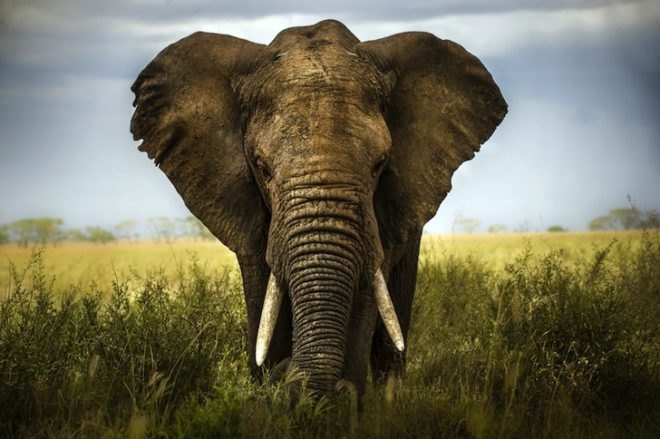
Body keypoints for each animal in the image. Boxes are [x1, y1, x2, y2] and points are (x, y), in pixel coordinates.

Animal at [130, 19, 506, 398]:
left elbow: (365, 297)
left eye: (380, 164)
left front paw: (337, 400)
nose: (286, 374)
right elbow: (264, 301)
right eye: (262, 167)